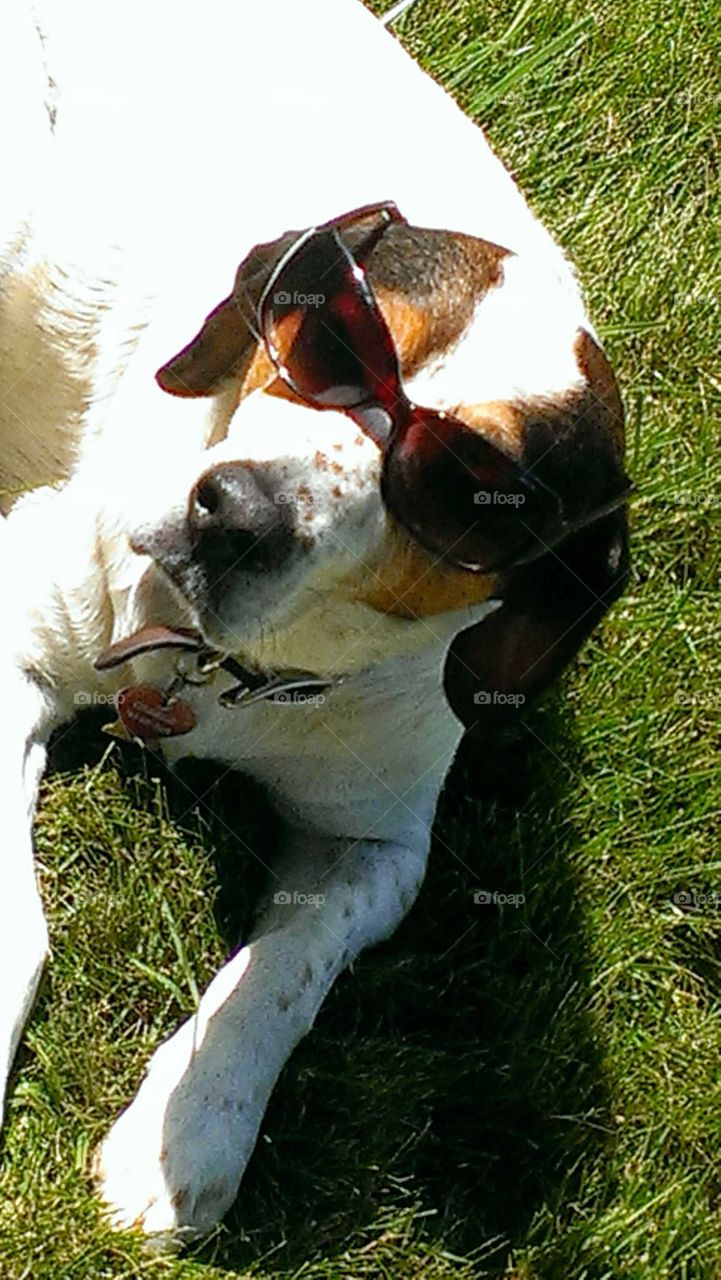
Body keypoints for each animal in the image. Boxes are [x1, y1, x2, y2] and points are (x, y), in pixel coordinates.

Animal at [0, 0, 630, 1244]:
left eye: (467, 497)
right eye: (327, 340)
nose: (232, 515)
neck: (221, 670)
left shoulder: (378, 842)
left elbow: (287, 970)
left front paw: (191, 1129)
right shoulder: (13, 619)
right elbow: (16, 923)